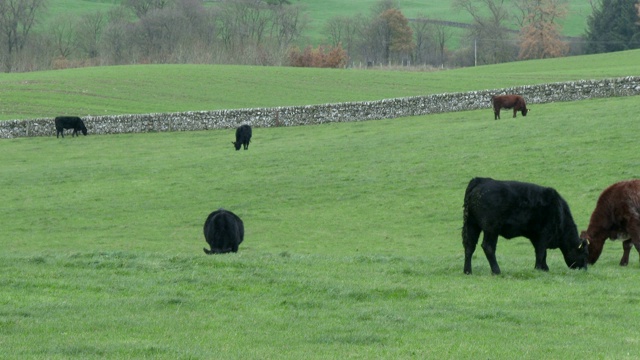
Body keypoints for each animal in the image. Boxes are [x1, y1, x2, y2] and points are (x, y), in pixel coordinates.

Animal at [460, 176, 592, 274]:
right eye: (585, 254)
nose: (585, 269)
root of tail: (481, 181)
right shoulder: (543, 235)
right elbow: (541, 252)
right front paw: (539, 268)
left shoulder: (535, 237)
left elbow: (541, 253)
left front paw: (544, 268)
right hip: (491, 228)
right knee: (488, 247)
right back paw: (496, 271)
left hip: (472, 225)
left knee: (469, 246)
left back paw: (468, 271)